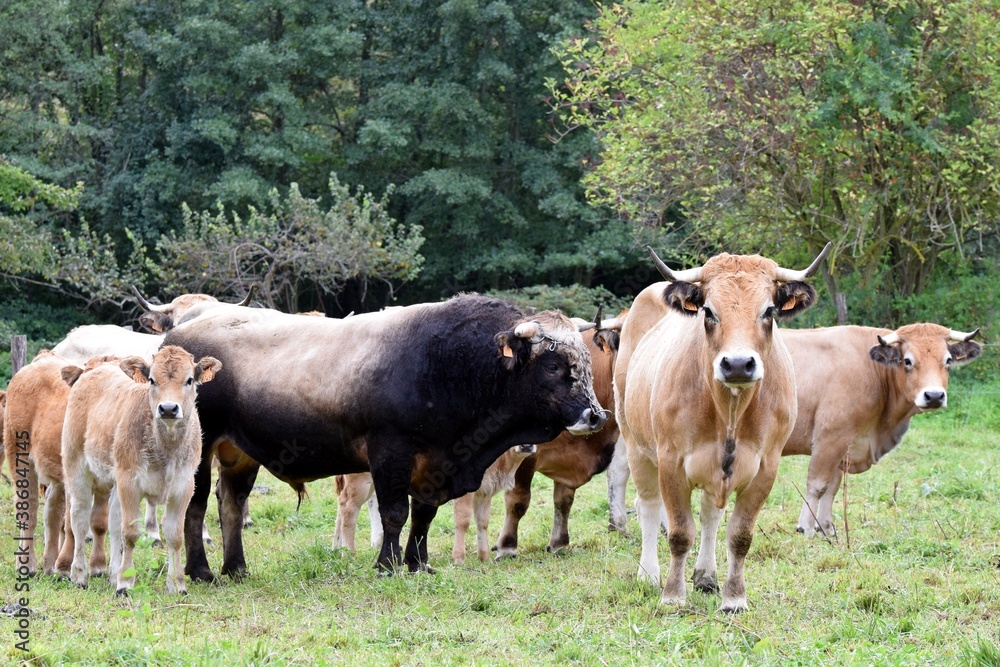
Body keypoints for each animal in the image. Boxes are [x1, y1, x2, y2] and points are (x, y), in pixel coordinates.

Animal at [5, 352, 109, 576]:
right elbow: (72, 523)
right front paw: (66, 568)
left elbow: (101, 522)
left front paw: (99, 566)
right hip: (20, 460)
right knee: (29, 509)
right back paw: (29, 564)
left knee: (52, 513)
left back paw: (48, 563)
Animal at [61, 346, 221, 594]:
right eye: (152, 380)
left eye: (189, 380)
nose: (168, 408)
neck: (166, 447)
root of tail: (94, 370)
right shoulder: (130, 482)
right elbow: (131, 533)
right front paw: (125, 583)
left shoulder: (184, 487)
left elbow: (174, 535)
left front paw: (177, 584)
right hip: (76, 466)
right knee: (79, 519)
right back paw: (79, 574)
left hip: (115, 481)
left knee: (113, 521)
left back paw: (113, 573)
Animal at [162, 294, 606, 581]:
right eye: (553, 365)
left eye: (585, 360)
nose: (596, 415)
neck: (454, 364)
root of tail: (180, 334)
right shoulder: (390, 451)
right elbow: (395, 512)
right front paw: (387, 565)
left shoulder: (436, 463)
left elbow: (424, 515)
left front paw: (419, 563)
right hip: (199, 451)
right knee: (195, 507)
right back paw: (201, 571)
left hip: (239, 453)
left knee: (231, 504)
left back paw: (236, 568)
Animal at [615, 244, 828, 613]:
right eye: (708, 311)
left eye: (769, 310)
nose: (738, 364)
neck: (729, 410)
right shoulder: (671, 462)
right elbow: (679, 532)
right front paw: (673, 594)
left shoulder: (764, 467)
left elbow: (739, 534)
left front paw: (734, 597)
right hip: (635, 444)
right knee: (648, 507)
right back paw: (649, 574)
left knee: (710, 516)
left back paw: (706, 575)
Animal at [781, 323, 982, 537]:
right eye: (907, 360)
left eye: (948, 360)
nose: (934, 396)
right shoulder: (830, 438)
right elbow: (817, 485)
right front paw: (806, 528)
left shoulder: (842, 445)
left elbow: (832, 487)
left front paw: (827, 529)